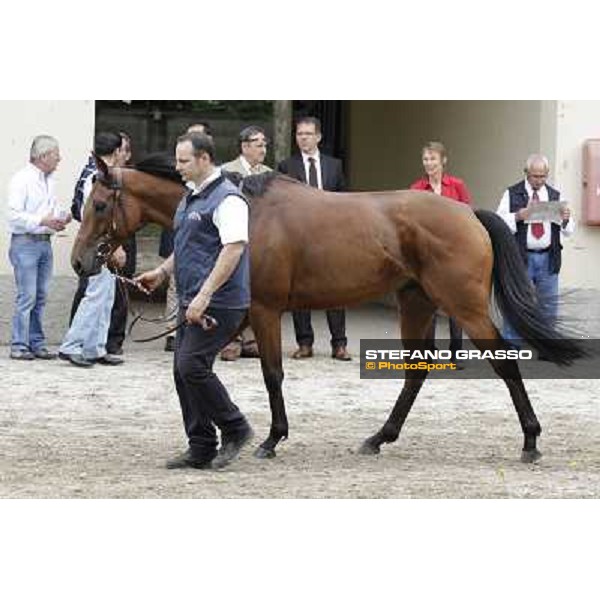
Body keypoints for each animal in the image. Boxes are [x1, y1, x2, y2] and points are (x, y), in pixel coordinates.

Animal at [74, 155, 584, 464]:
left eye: (98, 203)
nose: (81, 261)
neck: (248, 214)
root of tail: (468, 213)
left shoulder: (264, 309)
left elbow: (271, 374)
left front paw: (270, 439)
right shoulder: (234, 314)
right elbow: (199, 368)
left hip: (465, 306)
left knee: (504, 364)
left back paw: (531, 441)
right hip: (416, 303)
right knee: (416, 372)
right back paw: (379, 438)